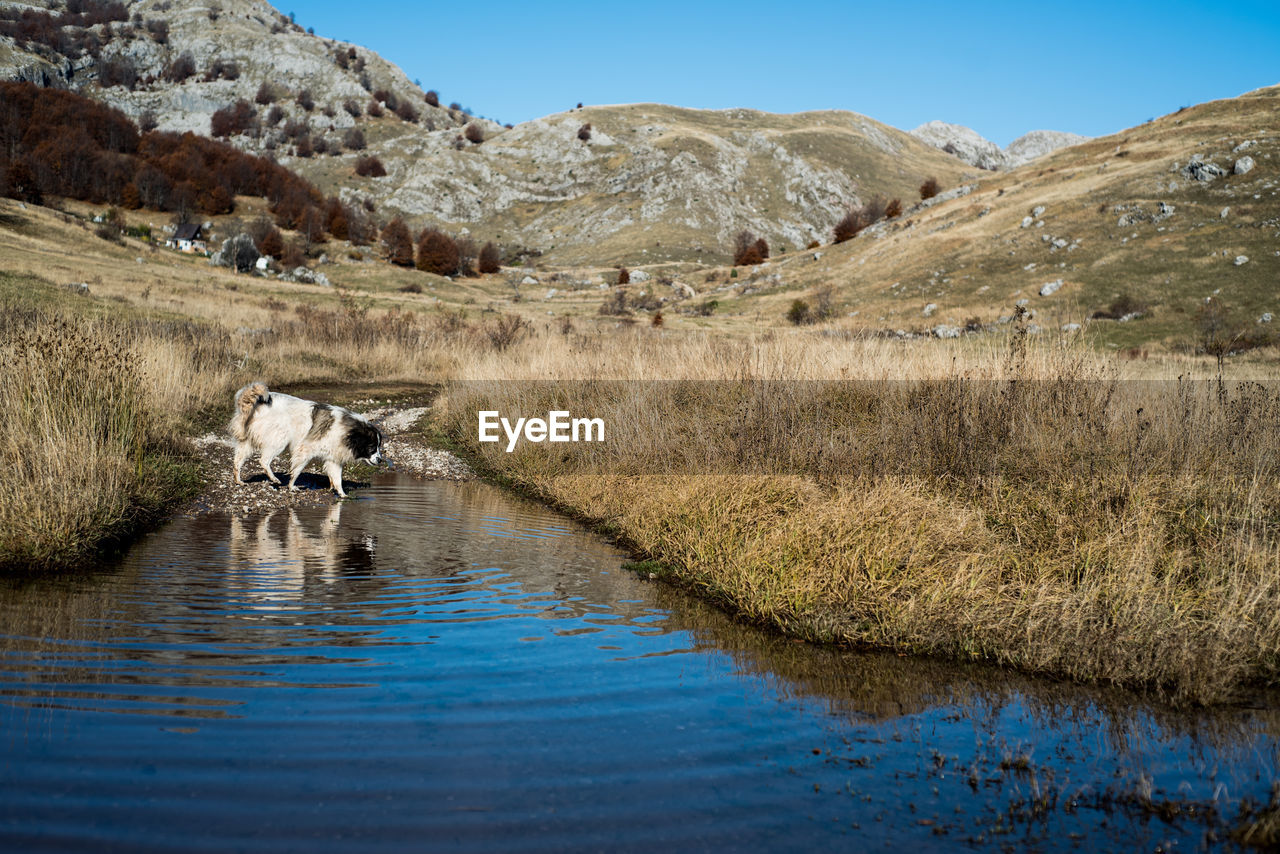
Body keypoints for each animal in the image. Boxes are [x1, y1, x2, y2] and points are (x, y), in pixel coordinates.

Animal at [230, 381, 381, 501]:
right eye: (372, 447)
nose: (380, 459)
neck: (348, 431)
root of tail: (259, 403)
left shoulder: (334, 459)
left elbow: (337, 478)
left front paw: (342, 494)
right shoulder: (305, 449)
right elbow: (297, 470)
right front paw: (291, 485)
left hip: (247, 441)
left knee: (238, 461)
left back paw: (238, 480)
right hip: (279, 439)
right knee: (263, 461)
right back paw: (273, 478)